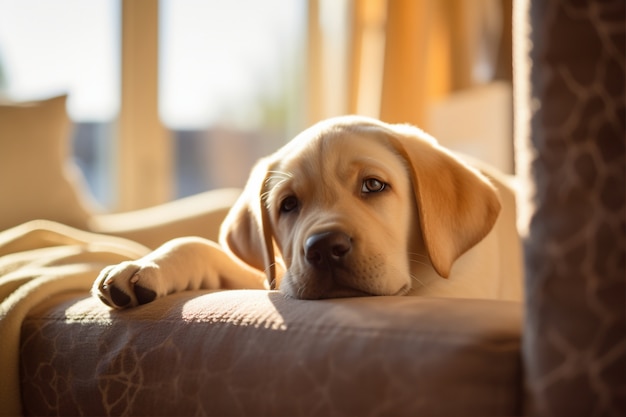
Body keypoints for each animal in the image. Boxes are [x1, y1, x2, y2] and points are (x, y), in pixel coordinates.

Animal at [94, 115, 520, 308]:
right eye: (288, 205)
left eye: (374, 185)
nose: (325, 248)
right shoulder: (277, 277)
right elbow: (199, 245)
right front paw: (144, 266)